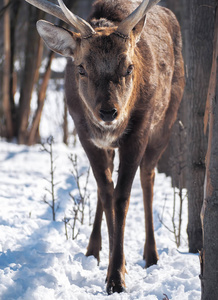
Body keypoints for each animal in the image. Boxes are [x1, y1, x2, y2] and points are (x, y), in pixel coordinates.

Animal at [25, 0, 185, 296]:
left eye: (129, 67)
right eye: (81, 68)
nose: (109, 111)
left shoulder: (139, 131)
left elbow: (122, 197)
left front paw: (117, 279)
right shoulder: (83, 132)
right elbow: (108, 193)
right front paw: (114, 270)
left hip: (167, 118)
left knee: (148, 176)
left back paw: (151, 255)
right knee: (104, 187)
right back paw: (94, 250)